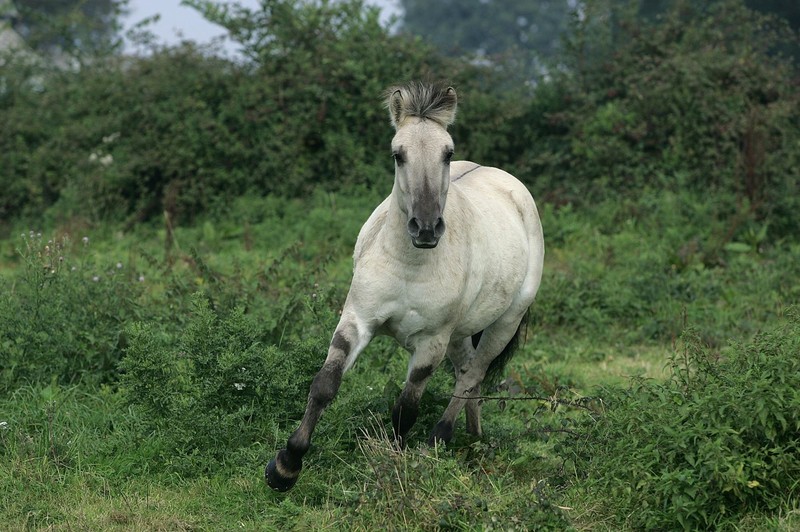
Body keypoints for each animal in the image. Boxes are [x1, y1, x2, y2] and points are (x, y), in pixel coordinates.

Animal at [268, 81, 544, 492]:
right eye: (398, 155)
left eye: (448, 153)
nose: (426, 228)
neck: (408, 265)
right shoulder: (357, 320)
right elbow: (325, 385)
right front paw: (285, 466)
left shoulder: (431, 343)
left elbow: (406, 408)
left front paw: (393, 465)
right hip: (461, 333)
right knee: (467, 373)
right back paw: (473, 440)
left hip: (504, 322)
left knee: (472, 377)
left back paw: (439, 440)